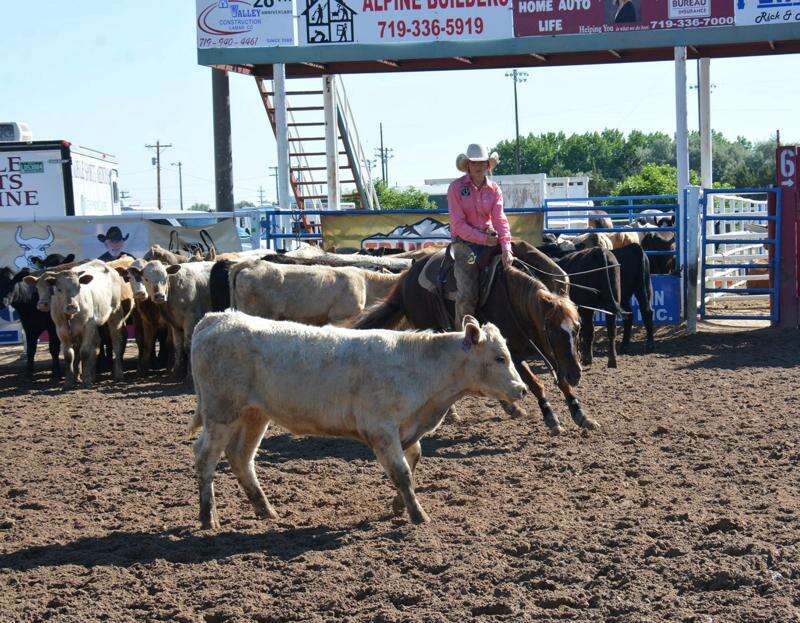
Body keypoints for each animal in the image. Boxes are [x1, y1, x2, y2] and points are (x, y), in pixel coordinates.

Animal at [190, 314, 528, 528]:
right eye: (500, 357)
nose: (522, 389)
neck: (420, 368)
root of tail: (217, 318)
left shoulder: (406, 429)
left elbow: (413, 461)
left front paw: (399, 505)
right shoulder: (381, 430)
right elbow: (402, 472)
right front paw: (418, 515)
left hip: (254, 414)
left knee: (240, 458)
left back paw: (266, 509)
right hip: (221, 412)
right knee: (206, 457)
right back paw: (208, 517)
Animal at [354, 243, 596, 434]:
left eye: (577, 328)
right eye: (553, 331)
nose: (576, 374)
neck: (513, 300)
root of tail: (407, 278)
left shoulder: (544, 346)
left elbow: (561, 381)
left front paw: (581, 414)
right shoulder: (515, 351)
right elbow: (536, 383)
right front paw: (551, 418)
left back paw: (511, 407)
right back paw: (452, 412)